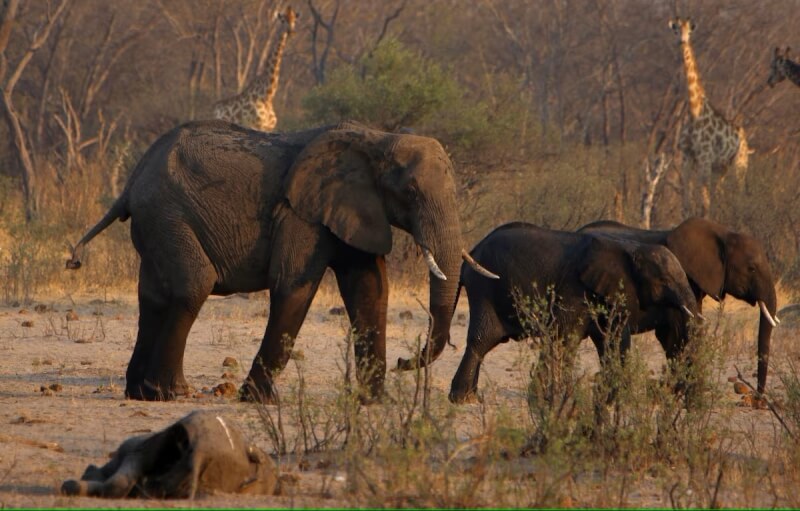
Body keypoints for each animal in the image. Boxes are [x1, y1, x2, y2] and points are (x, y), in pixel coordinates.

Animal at [69, 120, 496, 404]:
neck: (377, 138)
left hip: (156, 222)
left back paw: (139, 393)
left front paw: (375, 403)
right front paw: (258, 400)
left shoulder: (355, 209)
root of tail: (130, 183)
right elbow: (294, 287)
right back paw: (171, 393)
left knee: (154, 296)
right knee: (193, 285)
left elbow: (370, 291)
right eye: (410, 191)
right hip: (167, 214)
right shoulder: (300, 214)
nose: (406, 361)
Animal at [446, 223, 696, 404]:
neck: (630, 248)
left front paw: (611, 398)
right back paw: (463, 400)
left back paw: (470, 397)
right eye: (664, 281)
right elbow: (565, 338)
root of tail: (470, 253)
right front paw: (550, 400)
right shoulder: (574, 289)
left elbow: (611, 340)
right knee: (482, 340)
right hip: (484, 288)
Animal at [672, 17, 752, 218]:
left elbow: (704, 204)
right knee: (719, 193)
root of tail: (745, 138)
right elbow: (686, 203)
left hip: (739, 164)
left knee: (738, 195)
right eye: (676, 31)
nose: (682, 41)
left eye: (689, 32)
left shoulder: (705, 158)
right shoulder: (687, 157)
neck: (694, 112)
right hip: (721, 168)